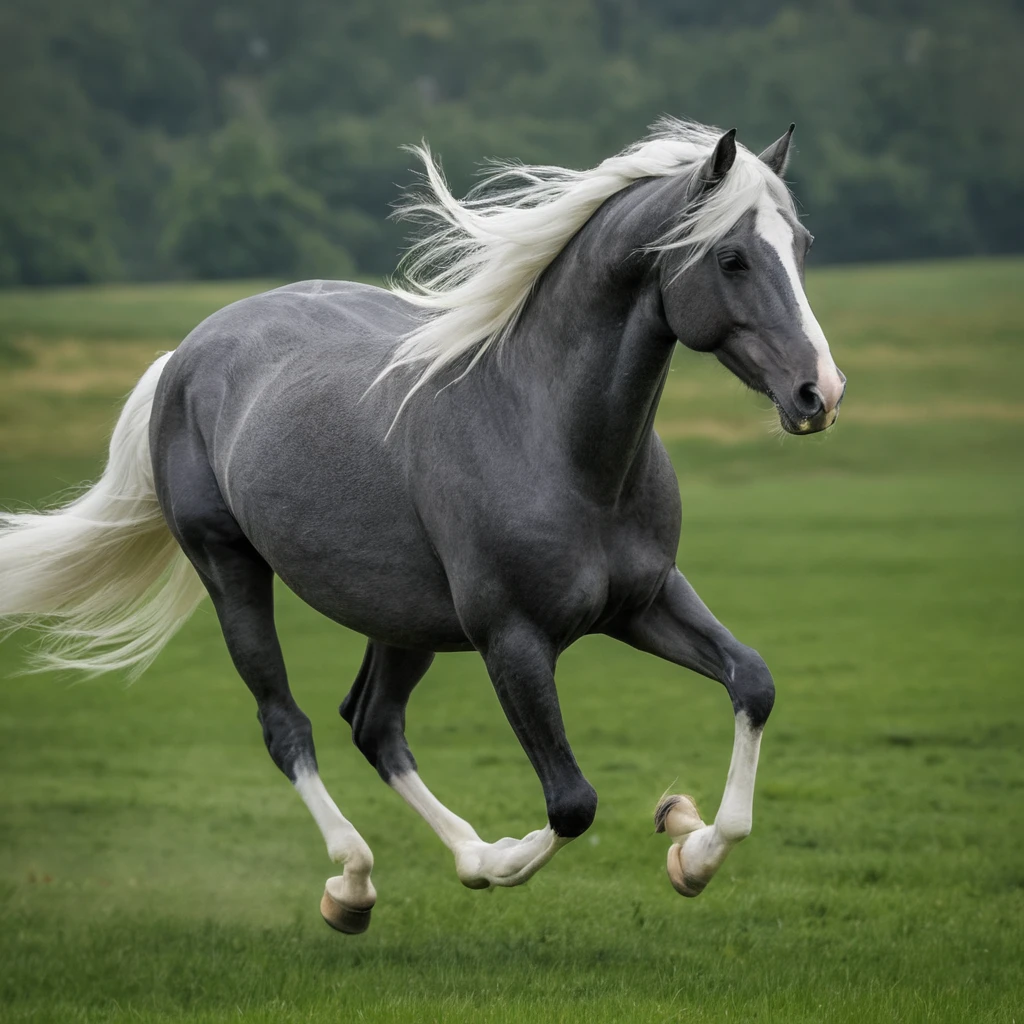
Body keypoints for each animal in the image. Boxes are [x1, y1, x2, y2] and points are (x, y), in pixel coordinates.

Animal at [0, 119, 845, 934]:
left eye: (802, 245)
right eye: (732, 258)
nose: (821, 393)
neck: (548, 436)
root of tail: (185, 353)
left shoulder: (645, 601)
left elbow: (753, 682)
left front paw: (687, 844)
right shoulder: (513, 639)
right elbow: (572, 803)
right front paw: (515, 859)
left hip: (403, 618)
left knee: (373, 724)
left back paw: (438, 858)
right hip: (232, 571)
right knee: (289, 727)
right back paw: (353, 883)